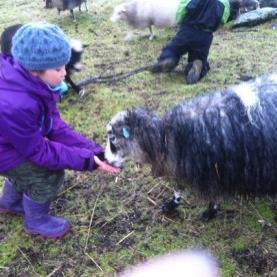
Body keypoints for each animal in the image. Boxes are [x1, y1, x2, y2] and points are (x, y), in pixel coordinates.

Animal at [104, 73, 276, 218]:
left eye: (112, 138)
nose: (106, 160)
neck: (165, 136)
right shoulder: (184, 164)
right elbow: (179, 189)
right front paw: (171, 205)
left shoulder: (215, 171)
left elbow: (214, 194)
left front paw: (211, 211)